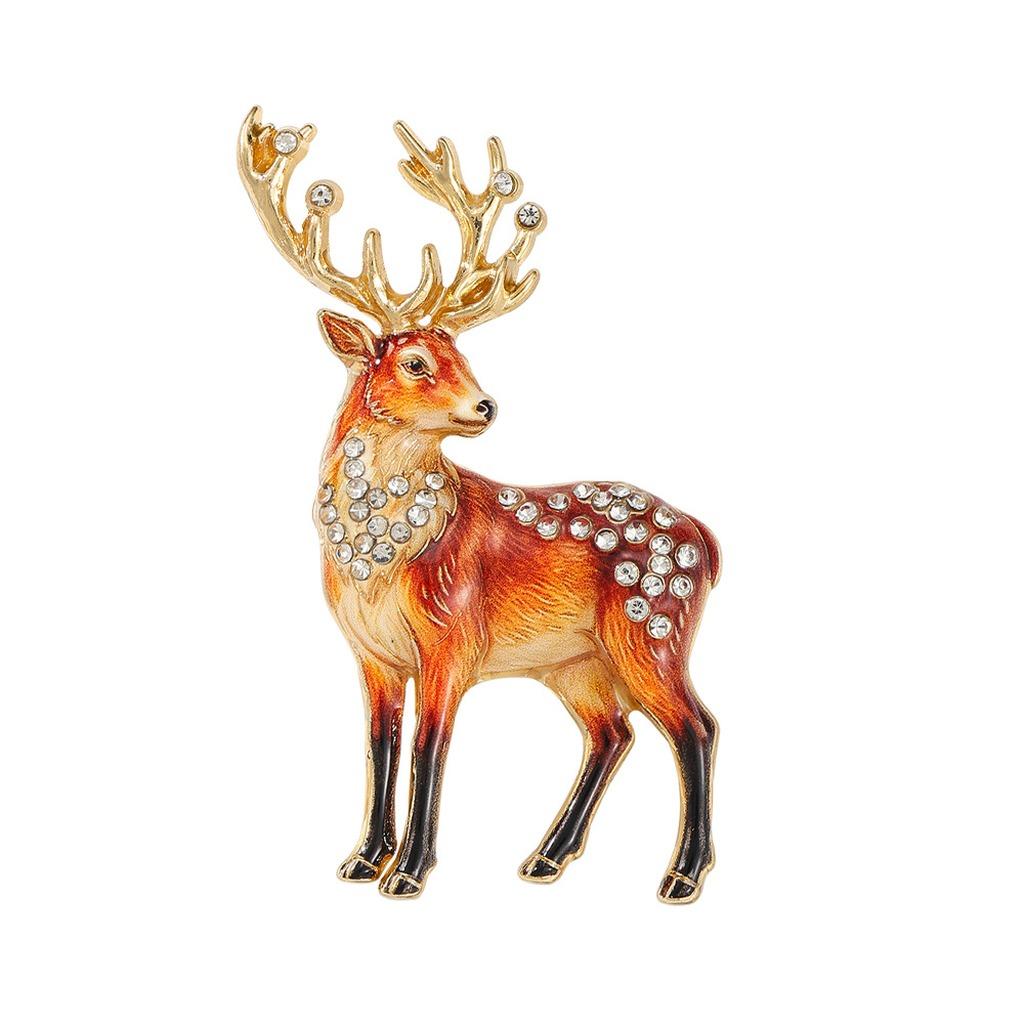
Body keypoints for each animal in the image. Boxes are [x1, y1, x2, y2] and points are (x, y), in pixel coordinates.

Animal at [237, 107, 721, 903]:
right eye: (415, 362)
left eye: (462, 355)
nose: (485, 405)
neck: (385, 562)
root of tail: (708, 545)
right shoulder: (371, 654)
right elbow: (379, 746)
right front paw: (362, 859)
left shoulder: (451, 641)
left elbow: (429, 749)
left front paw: (407, 872)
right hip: (576, 662)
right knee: (612, 733)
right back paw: (546, 857)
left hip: (652, 630)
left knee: (696, 727)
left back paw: (680, 875)